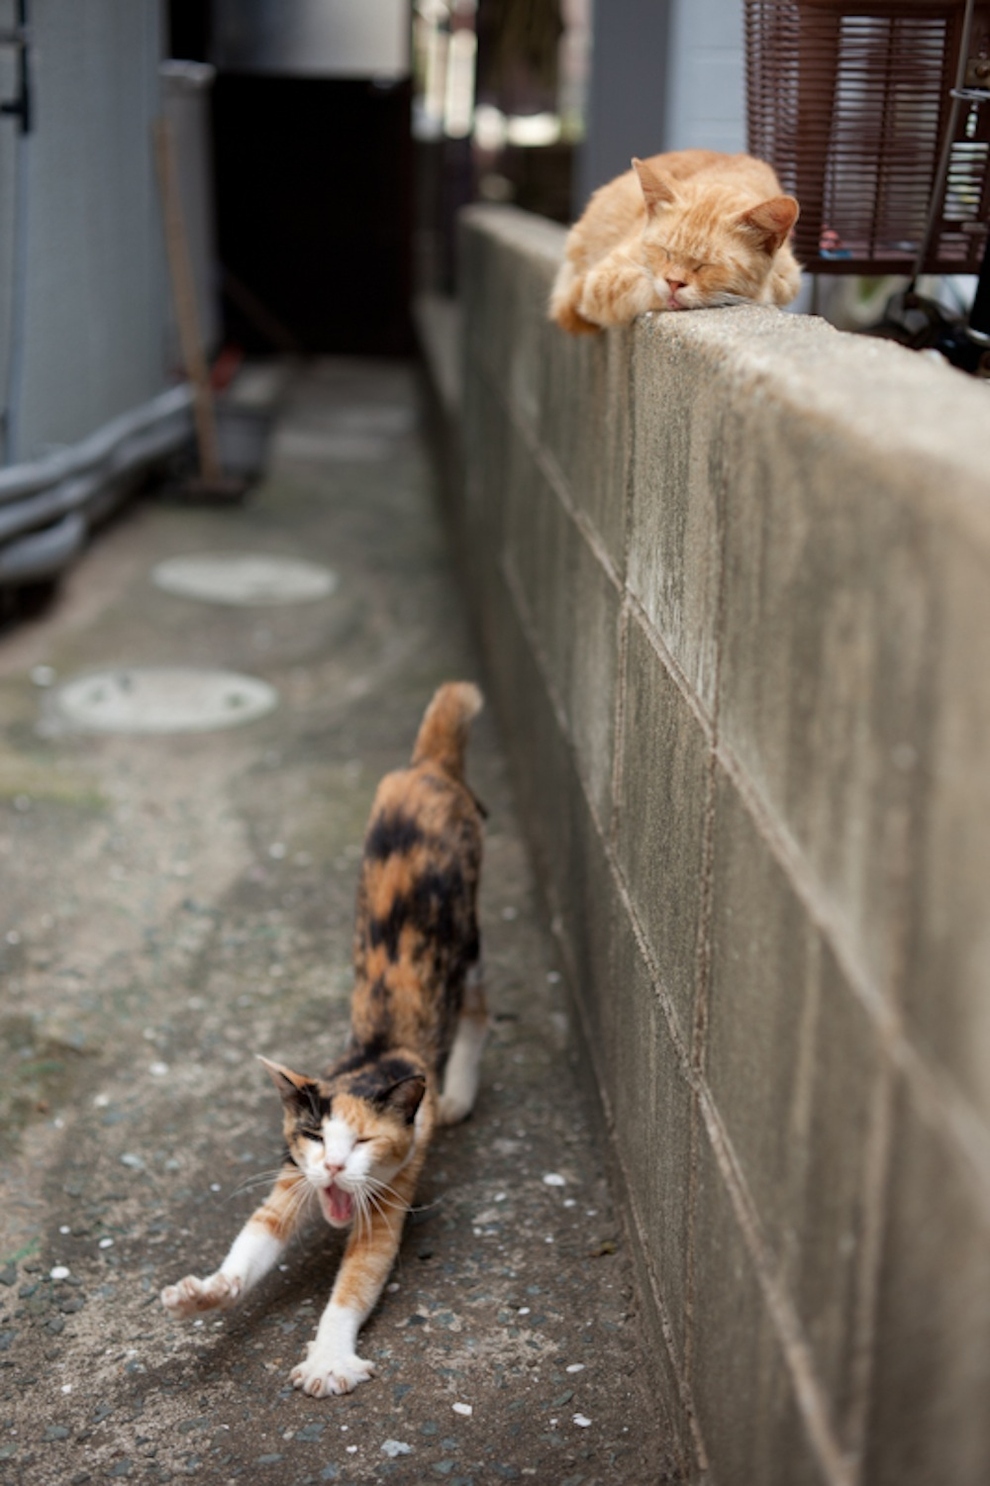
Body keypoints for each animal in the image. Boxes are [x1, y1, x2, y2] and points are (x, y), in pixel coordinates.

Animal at [159, 680, 487, 1396]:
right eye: (314, 1135)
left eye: (362, 1141)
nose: (335, 1168)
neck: (369, 1061)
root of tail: (427, 767)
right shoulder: (291, 1171)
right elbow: (257, 1239)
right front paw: (205, 1293)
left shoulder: (394, 1181)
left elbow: (357, 1280)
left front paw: (328, 1360)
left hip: (470, 930)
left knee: (477, 1003)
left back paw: (459, 1093)